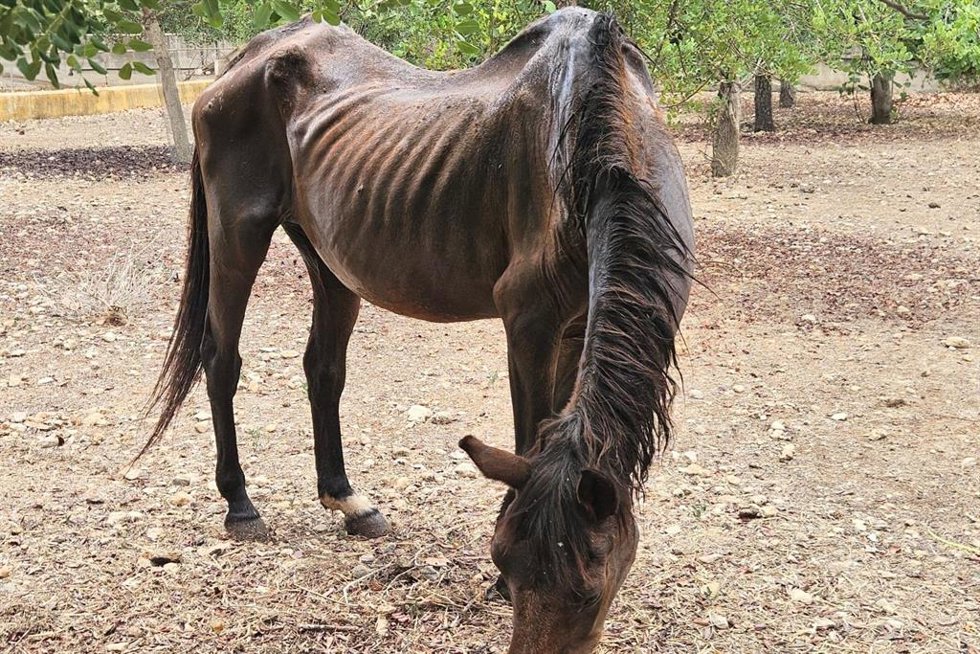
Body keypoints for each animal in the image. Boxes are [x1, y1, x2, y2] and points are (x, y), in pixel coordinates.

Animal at [142, 8, 694, 653]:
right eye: (506, 564)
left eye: (588, 594)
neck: (592, 146)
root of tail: (252, 55)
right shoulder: (529, 323)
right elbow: (527, 434)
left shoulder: (575, 328)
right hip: (238, 238)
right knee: (221, 361)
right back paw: (240, 504)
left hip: (330, 263)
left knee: (322, 370)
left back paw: (349, 501)